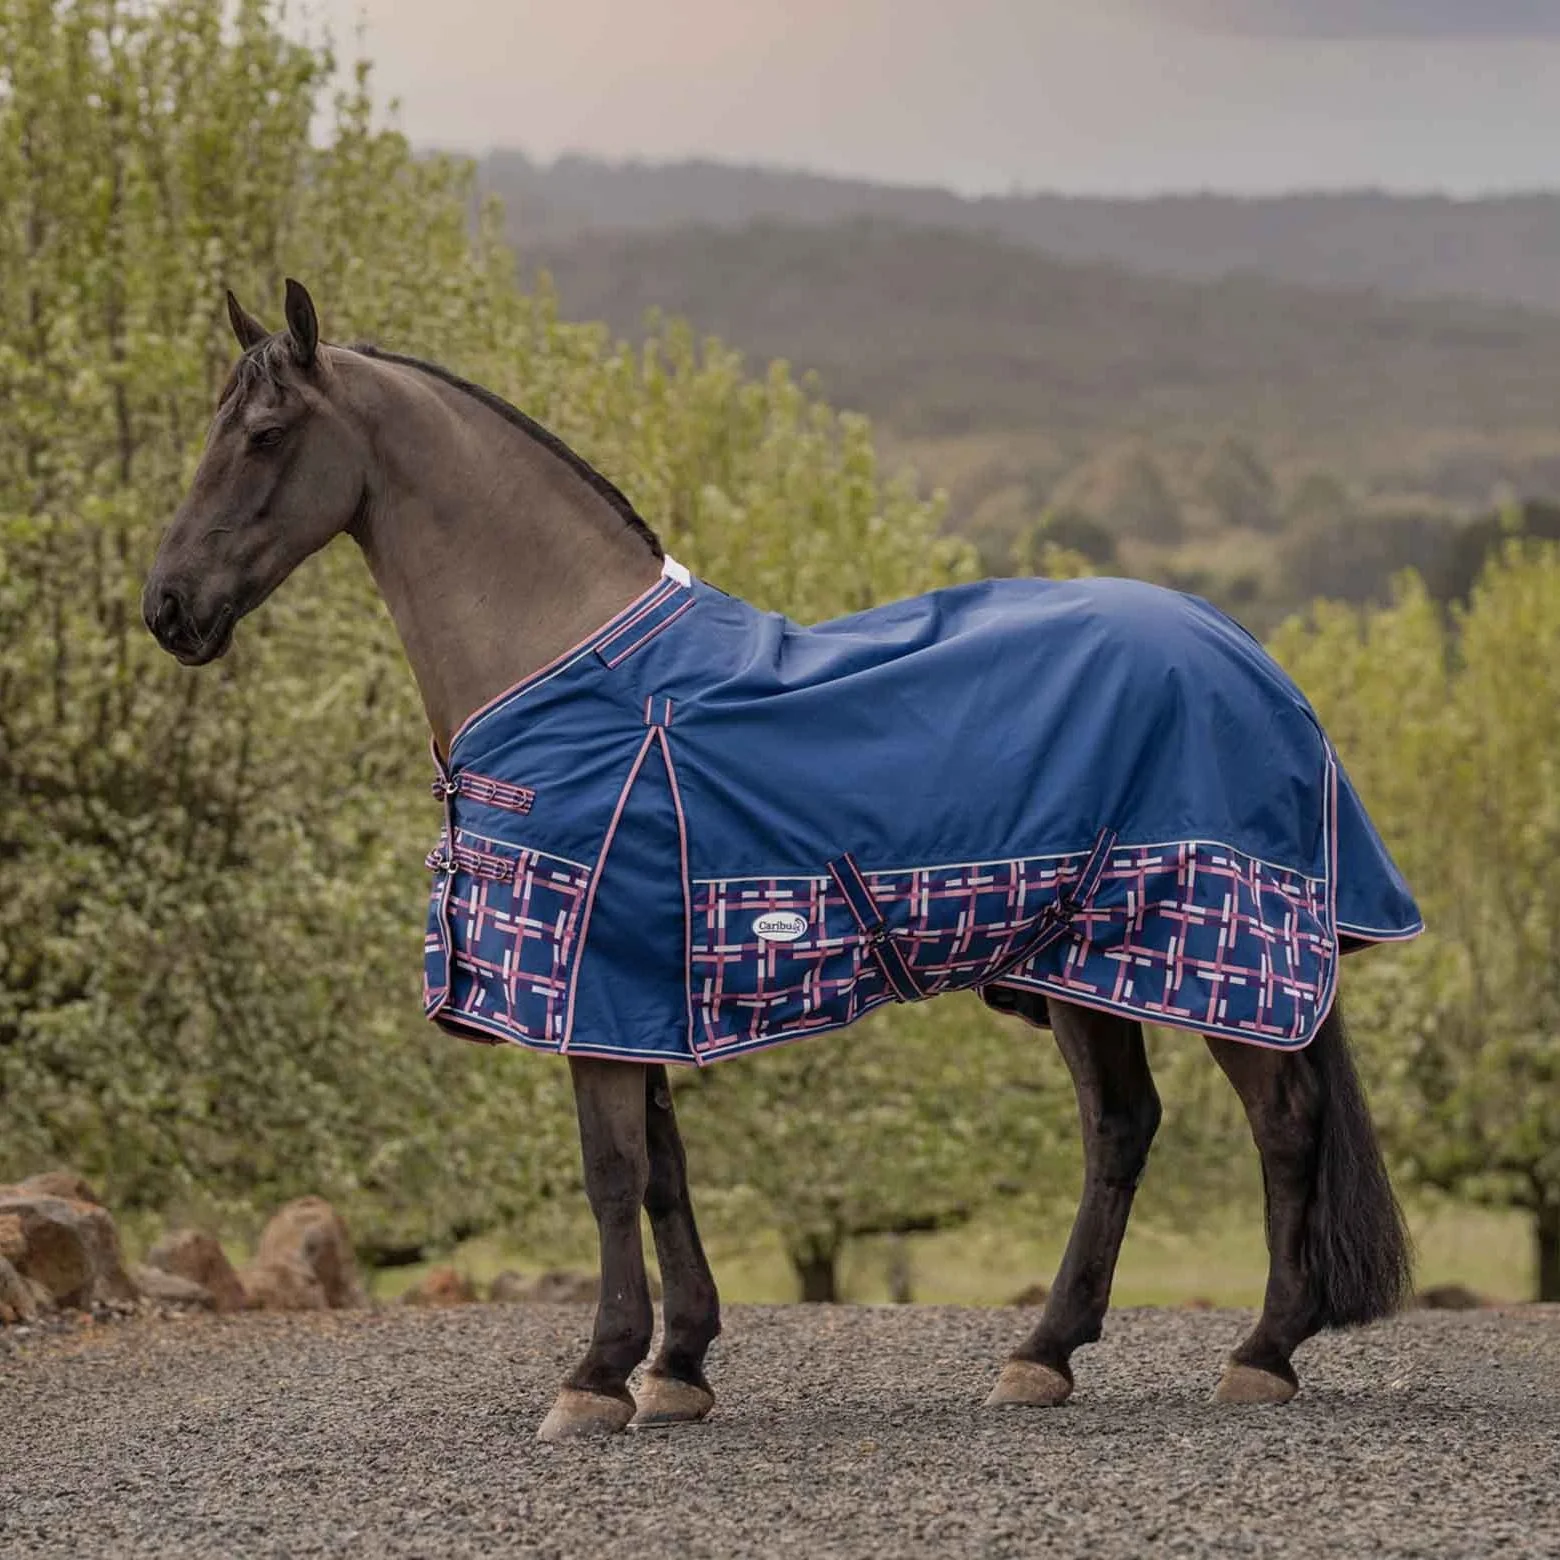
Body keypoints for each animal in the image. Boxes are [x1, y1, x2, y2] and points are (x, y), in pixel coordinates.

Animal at [143, 280, 1416, 1442]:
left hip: (1221, 960)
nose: (168, 609)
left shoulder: (591, 978)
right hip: (1084, 967)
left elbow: (610, 1172)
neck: (573, 666)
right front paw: (678, 1368)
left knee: (1283, 1123)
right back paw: (1043, 1354)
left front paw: (596, 1376)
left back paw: (1262, 1352)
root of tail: (1254, 662)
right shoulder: (633, 990)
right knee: (1122, 1129)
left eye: (264, 434)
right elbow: (662, 1169)